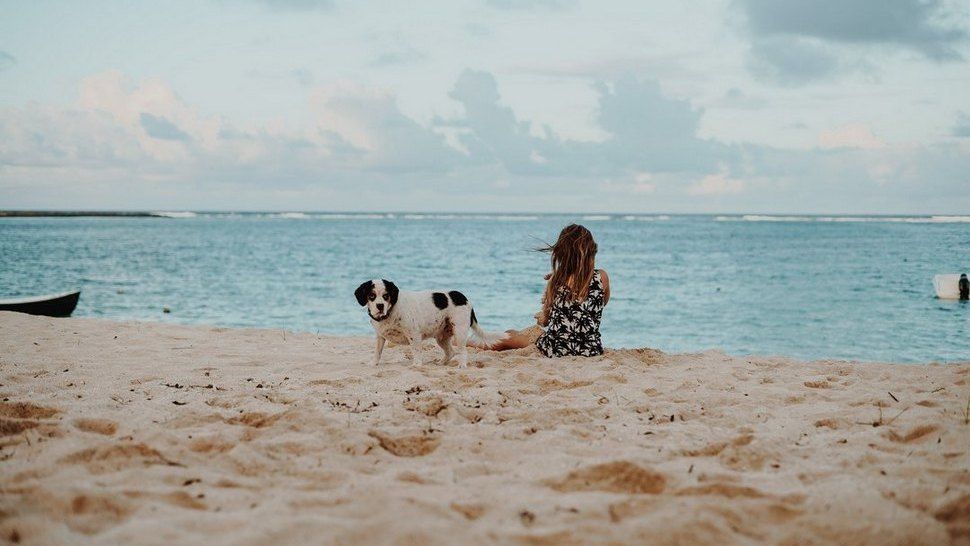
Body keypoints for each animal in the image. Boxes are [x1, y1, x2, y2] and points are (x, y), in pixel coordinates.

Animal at [356, 278, 506, 368]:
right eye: (371, 296)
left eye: (386, 296)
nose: (380, 306)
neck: (390, 312)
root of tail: (464, 298)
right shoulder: (380, 337)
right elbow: (377, 352)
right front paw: (373, 363)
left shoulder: (414, 335)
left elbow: (416, 351)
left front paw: (416, 365)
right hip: (441, 338)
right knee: (450, 352)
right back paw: (441, 363)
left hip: (460, 333)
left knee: (462, 351)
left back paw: (462, 366)